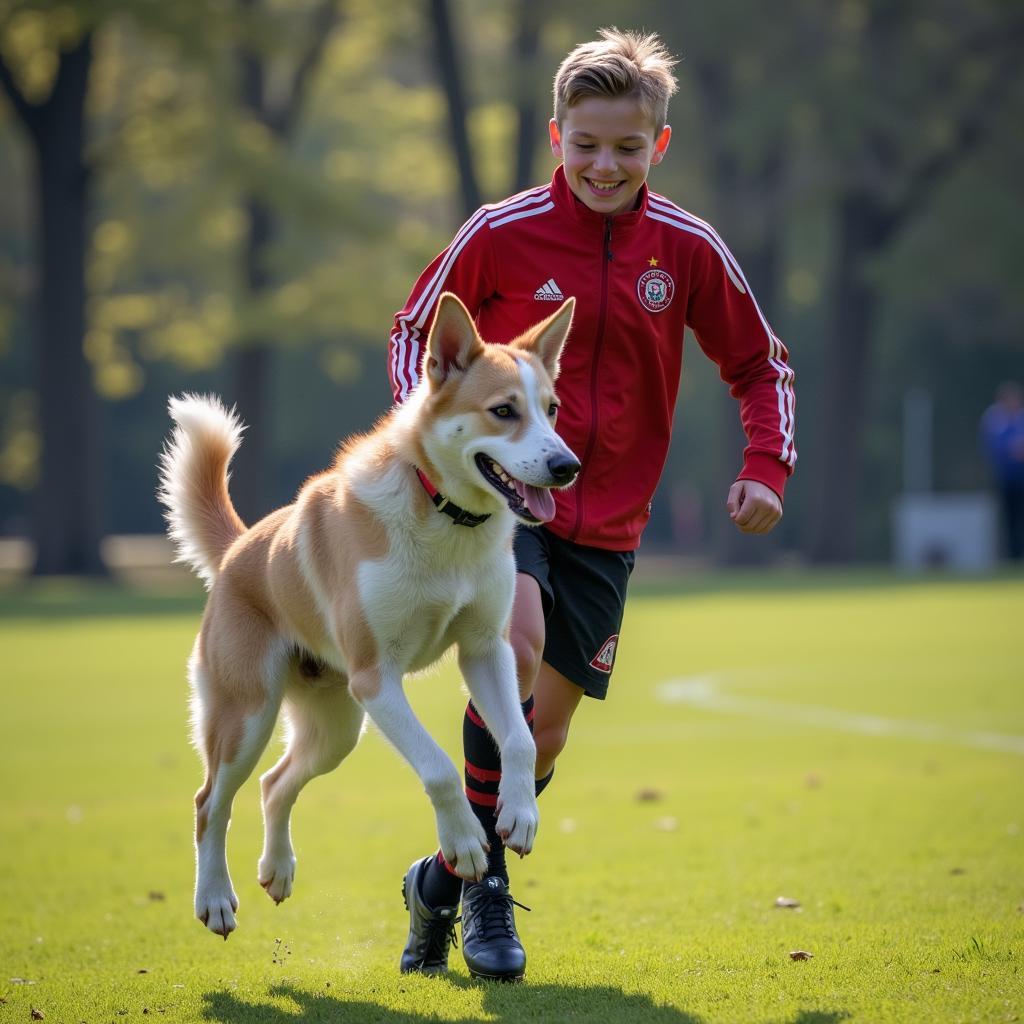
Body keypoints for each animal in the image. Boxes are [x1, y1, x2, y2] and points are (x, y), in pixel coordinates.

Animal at [157, 294, 577, 937]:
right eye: (503, 411)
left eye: (551, 409)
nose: (567, 466)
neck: (443, 515)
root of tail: (237, 549)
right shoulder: (377, 678)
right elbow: (439, 768)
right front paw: (464, 842)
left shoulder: (487, 650)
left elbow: (521, 742)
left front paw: (519, 815)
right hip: (245, 716)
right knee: (211, 803)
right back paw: (215, 900)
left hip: (336, 728)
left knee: (275, 784)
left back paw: (277, 870)